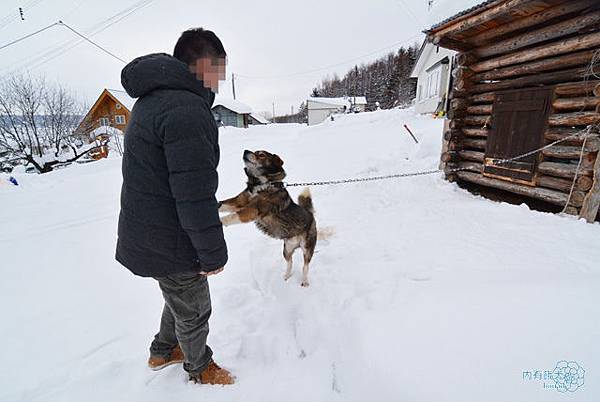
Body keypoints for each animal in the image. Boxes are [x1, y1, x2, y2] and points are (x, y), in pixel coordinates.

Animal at [218, 150, 316, 286]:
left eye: (261, 155)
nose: (245, 151)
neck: (262, 183)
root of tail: (310, 215)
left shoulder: (252, 210)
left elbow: (232, 216)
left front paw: (219, 221)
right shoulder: (239, 202)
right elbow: (223, 205)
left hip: (307, 247)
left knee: (305, 266)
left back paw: (305, 281)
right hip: (287, 249)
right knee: (290, 262)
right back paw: (286, 276)